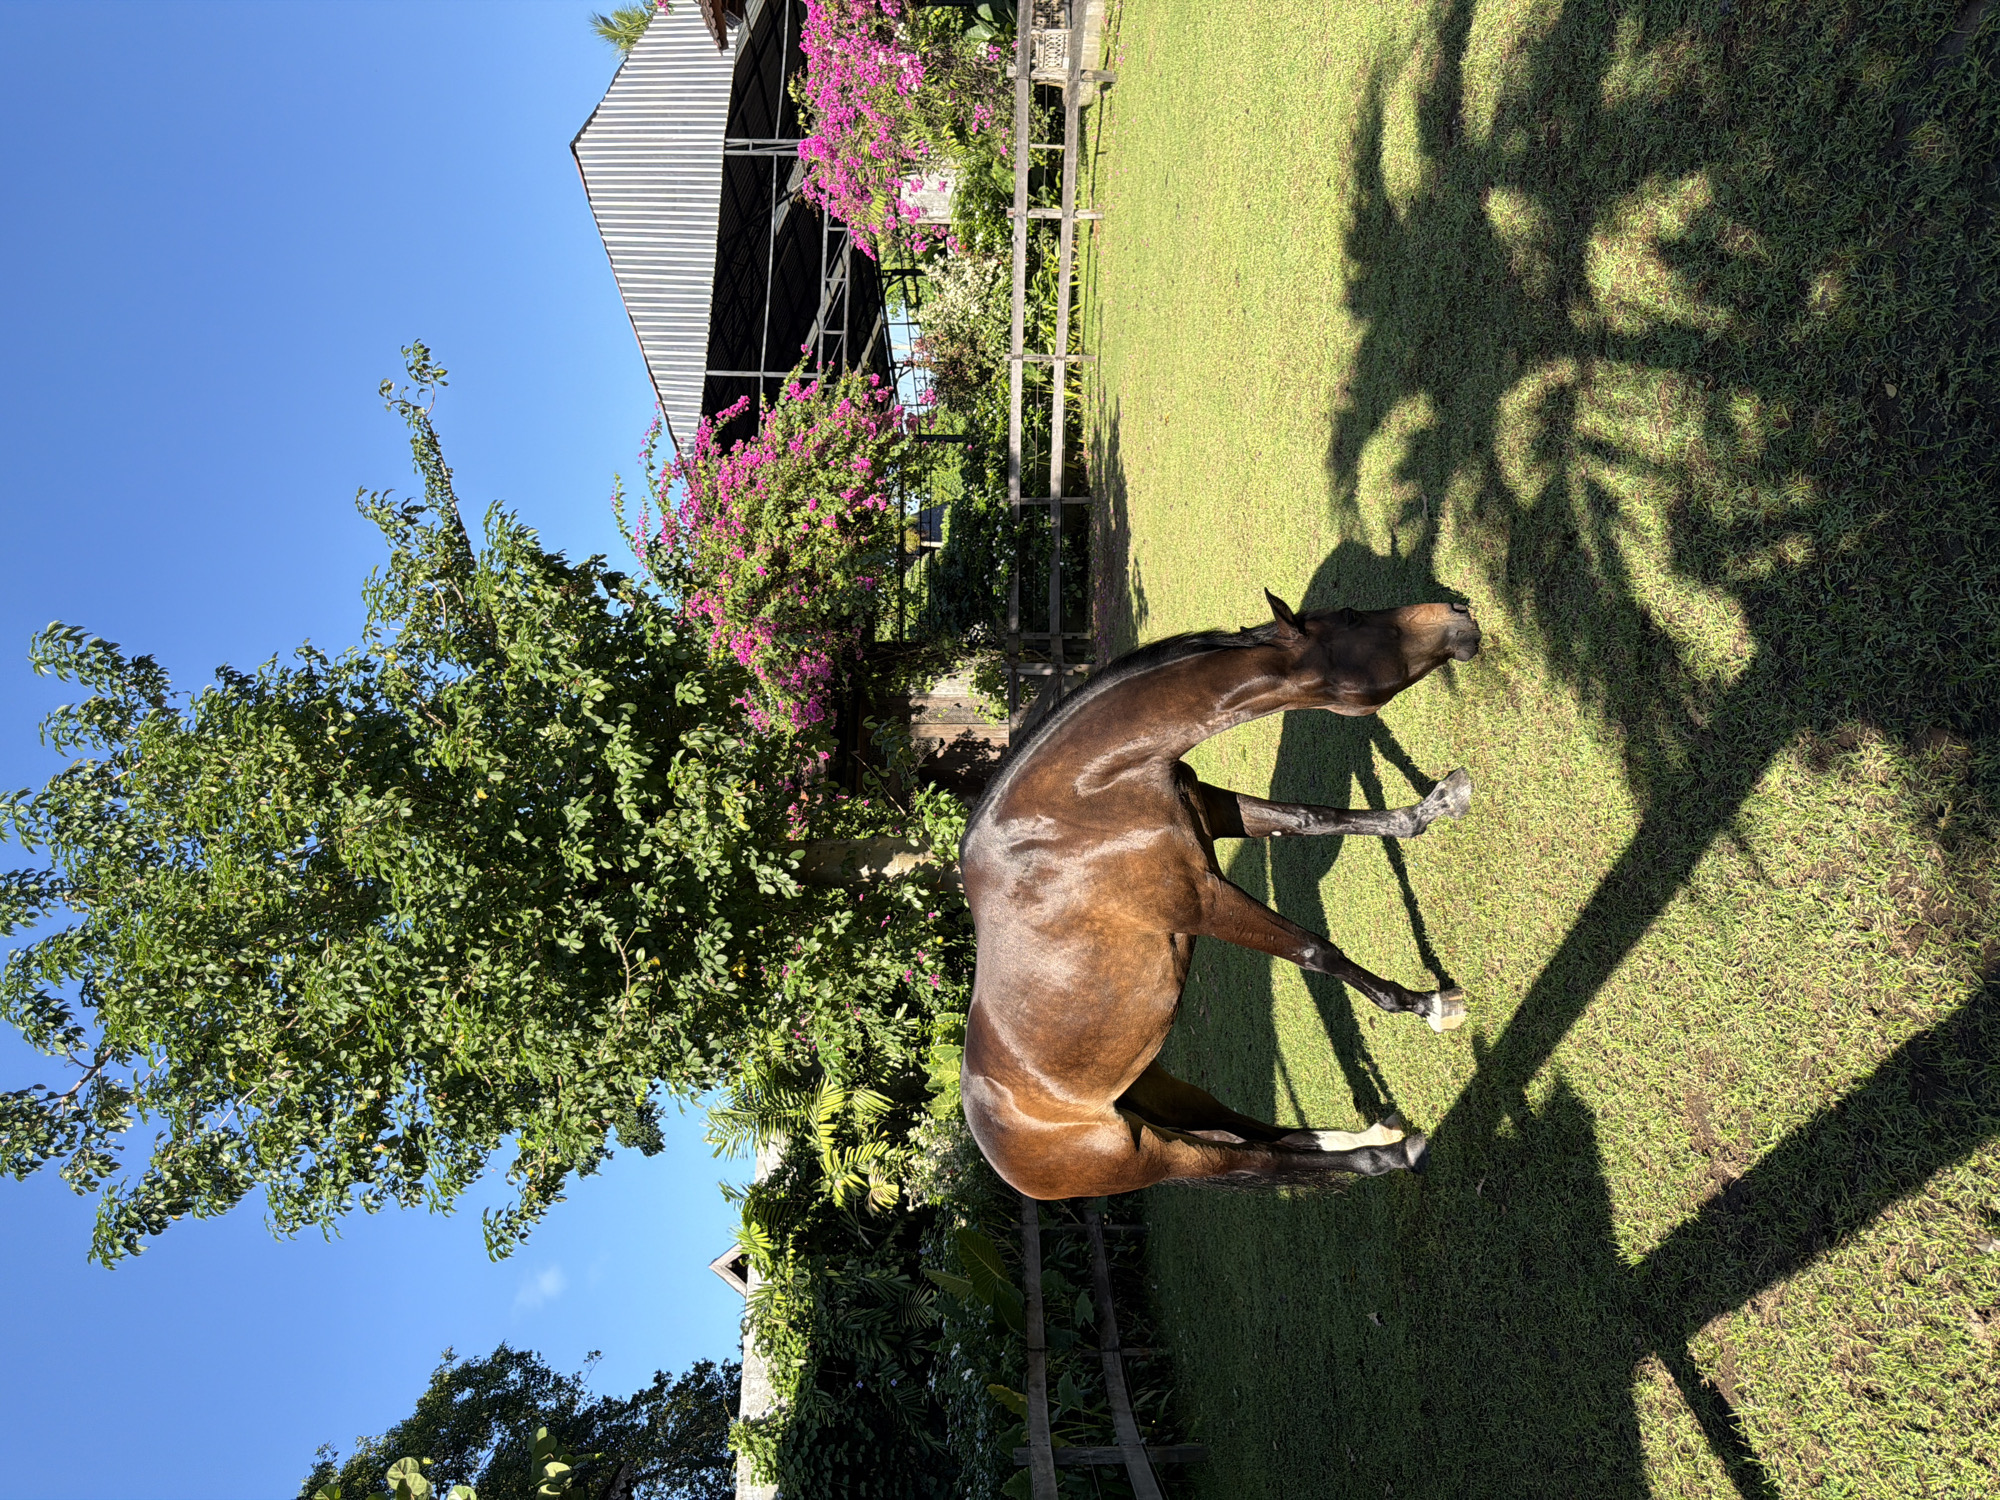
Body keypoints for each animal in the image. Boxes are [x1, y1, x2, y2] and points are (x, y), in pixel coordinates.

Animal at [958, 591, 1481, 1199]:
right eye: (1352, 618)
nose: (1459, 614)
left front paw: (1436, 805)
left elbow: (1314, 817)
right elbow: (1315, 950)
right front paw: (1430, 1006)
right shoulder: (1202, 901)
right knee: (1263, 1162)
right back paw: (1390, 1154)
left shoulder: (1213, 812)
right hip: (1159, 1154)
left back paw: (1366, 1134)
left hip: (1170, 1098)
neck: (1080, 800)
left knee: (1261, 1134)